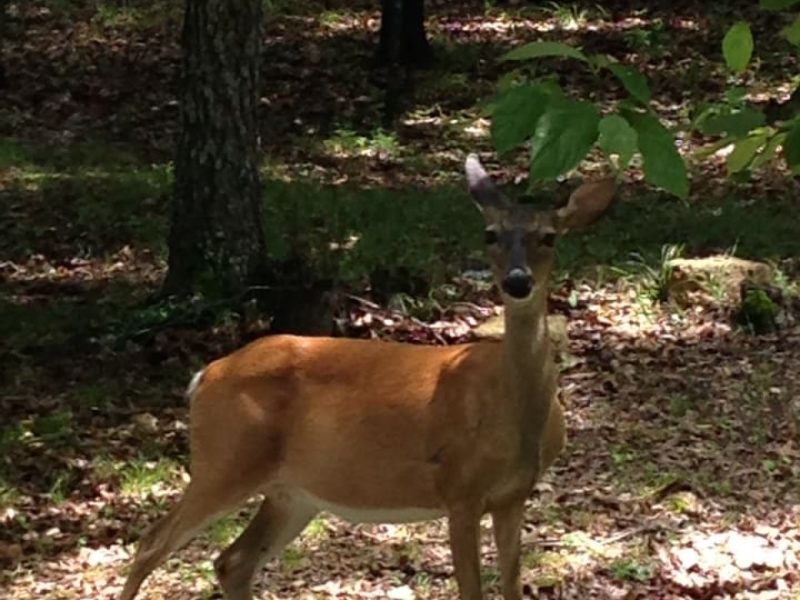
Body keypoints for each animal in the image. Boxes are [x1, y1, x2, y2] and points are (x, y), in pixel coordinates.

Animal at [119, 155, 612, 600]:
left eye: (549, 236)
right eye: (490, 234)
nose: (517, 281)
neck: (512, 408)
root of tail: (204, 376)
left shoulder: (513, 495)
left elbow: (511, 587)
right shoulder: (459, 489)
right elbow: (472, 591)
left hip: (291, 490)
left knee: (232, 561)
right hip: (224, 459)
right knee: (151, 545)